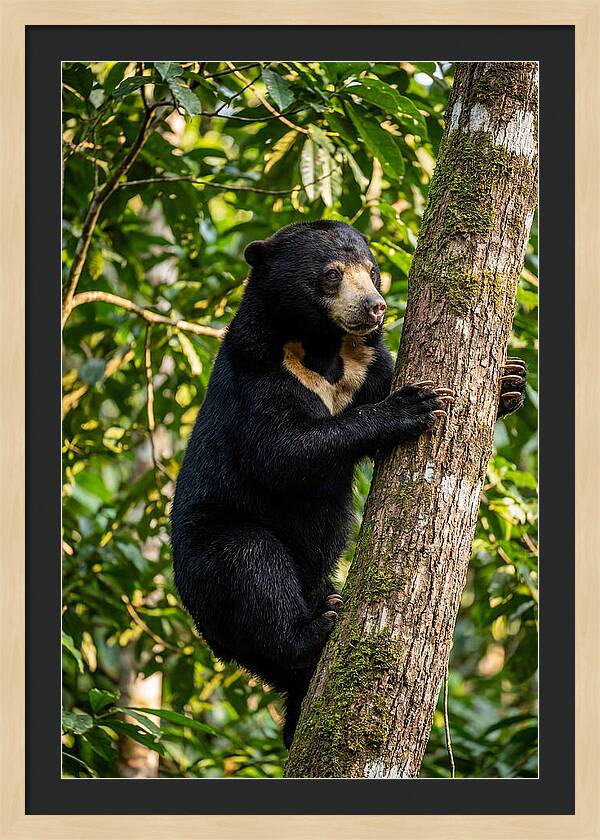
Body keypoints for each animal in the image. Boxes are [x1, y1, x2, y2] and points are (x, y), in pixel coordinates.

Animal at [170, 220, 527, 748]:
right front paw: (414, 405)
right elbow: (280, 453)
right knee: (250, 563)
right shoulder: (258, 373)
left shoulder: (366, 364)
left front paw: (509, 381)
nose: (375, 306)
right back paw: (316, 627)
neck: (322, 348)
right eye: (332, 274)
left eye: (373, 270)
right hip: (208, 554)